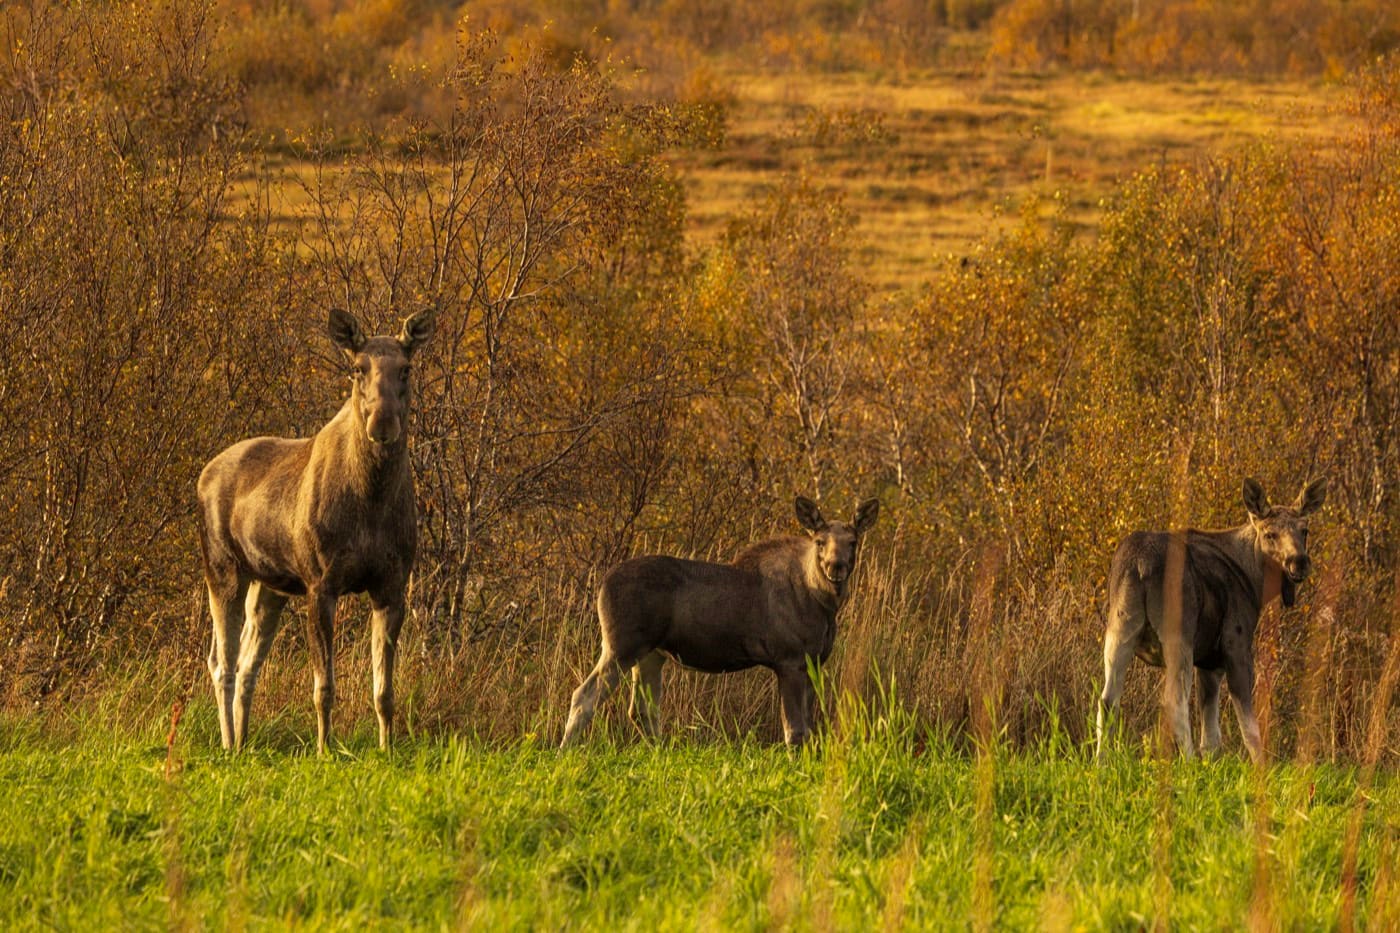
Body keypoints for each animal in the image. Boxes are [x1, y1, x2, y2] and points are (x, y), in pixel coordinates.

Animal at [197, 306, 435, 754]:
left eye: (406, 368)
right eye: (358, 368)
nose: (382, 424)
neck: (373, 496)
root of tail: (202, 477)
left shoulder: (392, 586)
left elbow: (385, 692)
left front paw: (387, 749)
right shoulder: (319, 584)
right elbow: (324, 688)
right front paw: (325, 751)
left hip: (269, 585)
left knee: (248, 663)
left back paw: (243, 742)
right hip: (222, 570)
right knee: (221, 662)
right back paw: (228, 744)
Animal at [561, 496, 880, 748]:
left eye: (853, 541)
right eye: (819, 541)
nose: (836, 566)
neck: (823, 604)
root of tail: (602, 585)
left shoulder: (814, 662)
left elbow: (811, 729)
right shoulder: (789, 660)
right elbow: (794, 731)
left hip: (651, 654)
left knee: (642, 710)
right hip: (621, 646)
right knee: (584, 695)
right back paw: (565, 753)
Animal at [1096, 476, 1327, 763]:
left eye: (1304, 530)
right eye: (1269, 533)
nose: (1299, 562)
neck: (1256, 581)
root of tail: (1140, 565)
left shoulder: (1208, 662)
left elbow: (1212, 738)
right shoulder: (1234, 643)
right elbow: (1249, 726)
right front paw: (1261, 768)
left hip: (1119, 627)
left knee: (1107, 699)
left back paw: (1100, 763)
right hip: (1178, 633)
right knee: (1174, 700)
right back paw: (1187, 762)